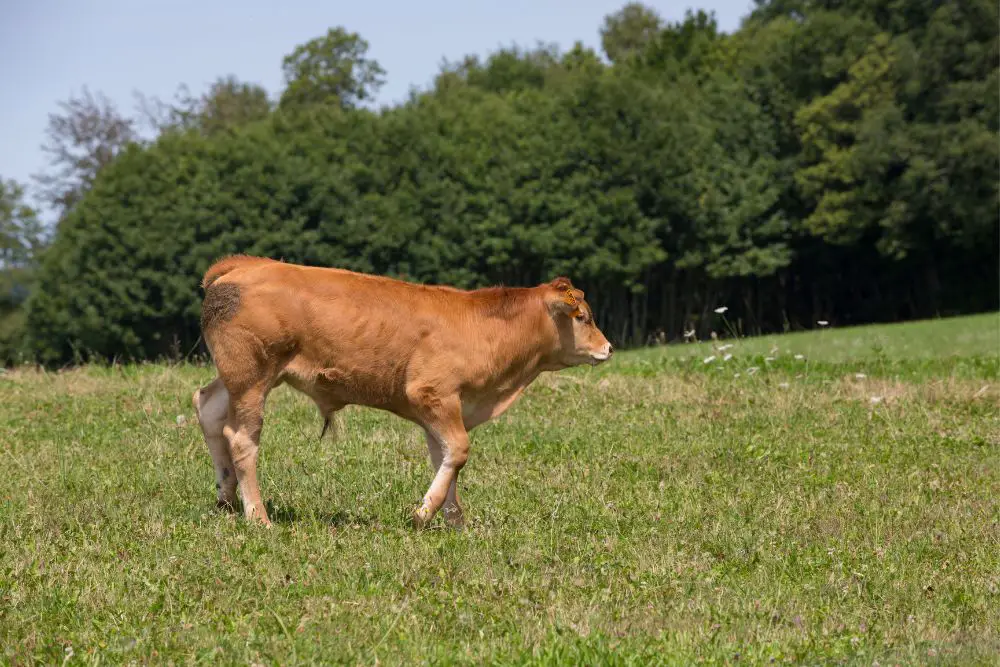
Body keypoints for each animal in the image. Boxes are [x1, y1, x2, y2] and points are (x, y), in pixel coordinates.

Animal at [188, 256, 608, 528]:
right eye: (583, 317)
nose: (608, 347)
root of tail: (244, 265)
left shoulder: (444, 407)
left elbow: (445, 456)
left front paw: (455, 522)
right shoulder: (433, 393)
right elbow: (459, 450)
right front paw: (424, 513)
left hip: (236, 378)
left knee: (208, 409)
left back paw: (226, 498)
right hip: (252, 377)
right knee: (241, 439)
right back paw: (258, 517)